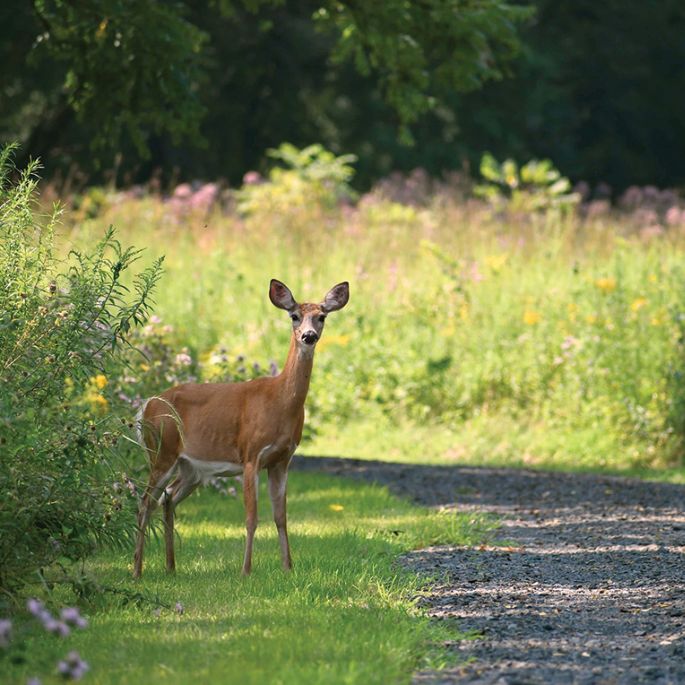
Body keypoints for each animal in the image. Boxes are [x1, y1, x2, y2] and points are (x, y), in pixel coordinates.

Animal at [132, 278, 350, 576]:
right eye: (294, 316)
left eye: (322, 317)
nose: (308, 336)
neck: (279, 401)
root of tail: (145, 406)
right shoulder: (251, 454)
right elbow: (251, 517)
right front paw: (246, 570)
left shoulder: (282, 460)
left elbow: (281, 517)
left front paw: (287, 567)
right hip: (161, 450)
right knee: (145, 503)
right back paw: (137, 571)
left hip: (191, 468)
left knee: (168, 498)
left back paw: (171, 567)